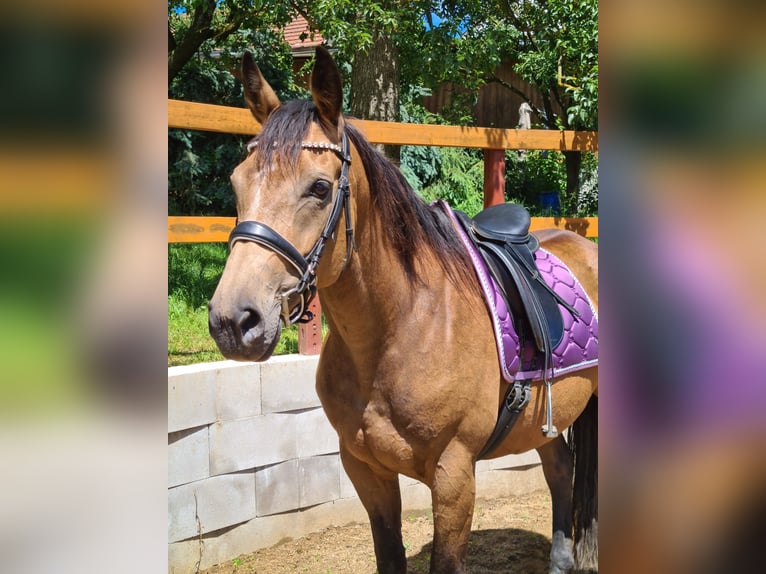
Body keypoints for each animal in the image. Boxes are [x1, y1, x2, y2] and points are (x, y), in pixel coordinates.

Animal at [210, 47, 600, 572]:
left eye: (319, 188)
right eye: (237, 183)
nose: (233, 321)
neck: (402, 329)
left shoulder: (454, 477)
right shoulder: (365, 470)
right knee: (559, 468)